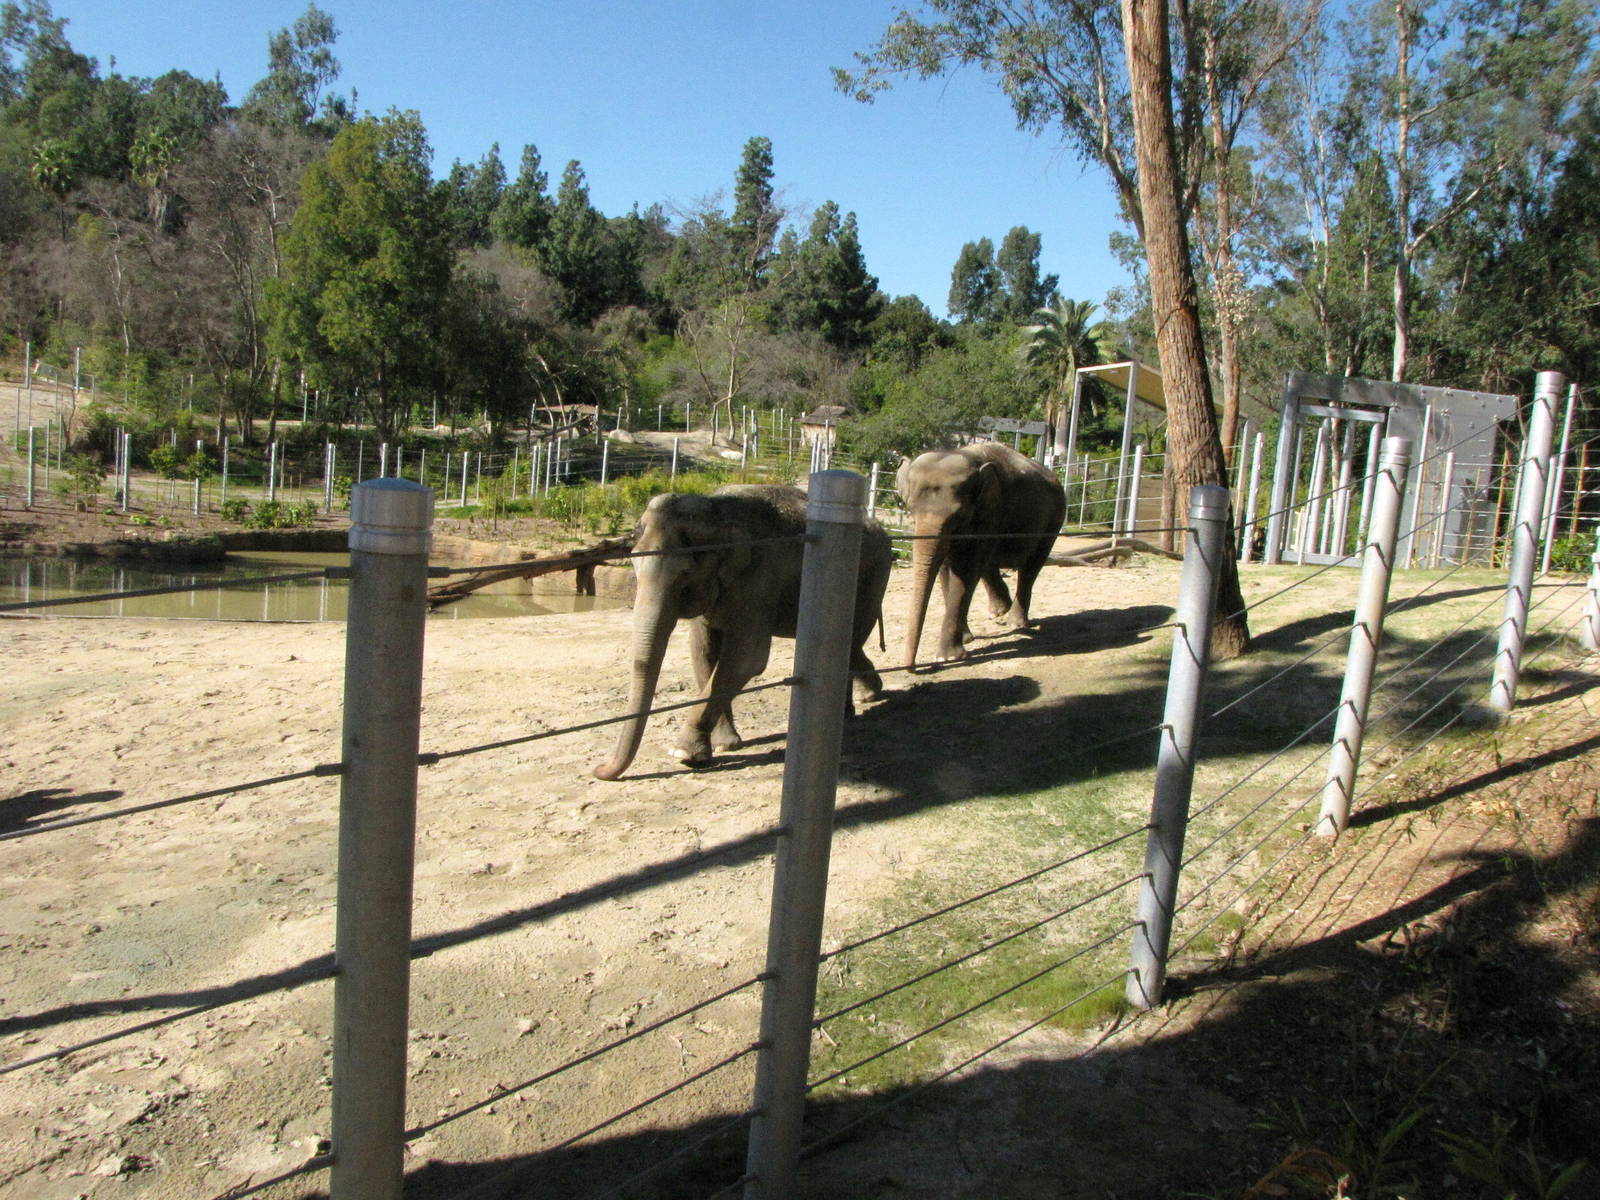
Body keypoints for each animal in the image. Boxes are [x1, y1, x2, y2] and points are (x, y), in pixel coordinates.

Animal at [592, 484, 892, 781]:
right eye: (634, 566)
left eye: (685, 573)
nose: (599, 770)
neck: (717, 511)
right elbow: (703, 652)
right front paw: (726, 744)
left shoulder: (758, 579)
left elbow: (747, 659)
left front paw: (684, 754)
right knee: (851, 646)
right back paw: (865, 697)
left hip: (874, 574)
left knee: (850, 642)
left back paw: (857, 704)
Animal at [897, 441, 1067, 668]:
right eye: (910, 510)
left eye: (959, 516)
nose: (911, 667)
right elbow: (946, 568)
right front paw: (967, 639)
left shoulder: (990, 512)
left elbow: (966, 570)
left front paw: (948, 657)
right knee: (990, 563)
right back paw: (1000, 610)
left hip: (1054, 519)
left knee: (1031, 566)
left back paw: (1016, 623)